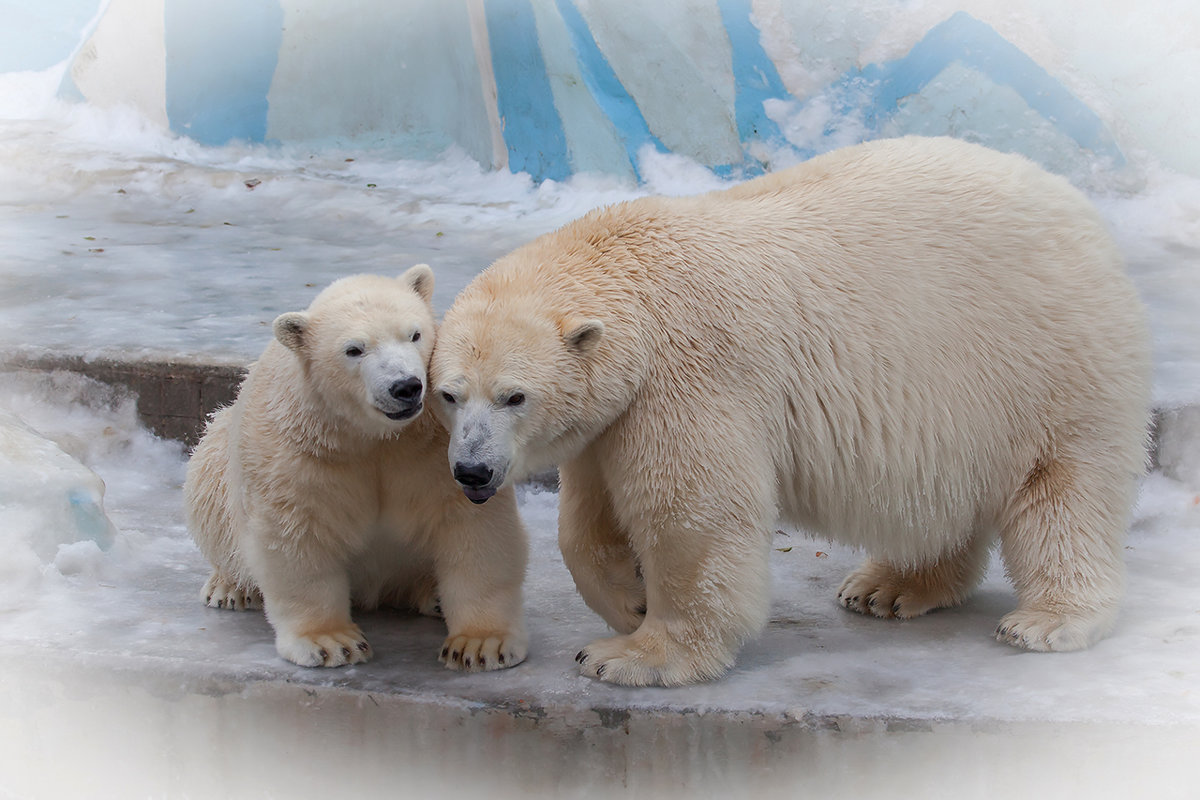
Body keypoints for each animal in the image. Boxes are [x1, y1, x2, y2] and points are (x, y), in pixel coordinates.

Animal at [434, 137, 1152, 690]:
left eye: (514, 395)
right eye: (447, 393)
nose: (472, 472)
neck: (636, 281)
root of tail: (1082, 212)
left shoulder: (691, 374)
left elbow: (690, 512)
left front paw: (633, 655)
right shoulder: (614, 412)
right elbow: (587, 518)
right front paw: (628, 599)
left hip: (1048, 360)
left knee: (1066, 488)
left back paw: (1050, 620)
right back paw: (888, 587)